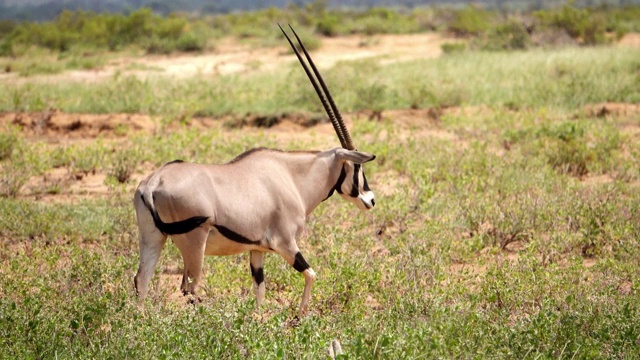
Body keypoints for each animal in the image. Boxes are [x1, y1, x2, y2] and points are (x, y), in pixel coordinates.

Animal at [133, 23, 378, 314]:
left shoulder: (258, 250)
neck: (293, 178)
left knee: (142, 280)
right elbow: (311, 274)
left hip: (153, 238)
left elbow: (260, 288)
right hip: (194, 244)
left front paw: (259, 319)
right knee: (188, 288)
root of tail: (153, 182)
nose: (371, 200)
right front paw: (301, 315)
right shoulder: (286, 243)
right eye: (357, 167)